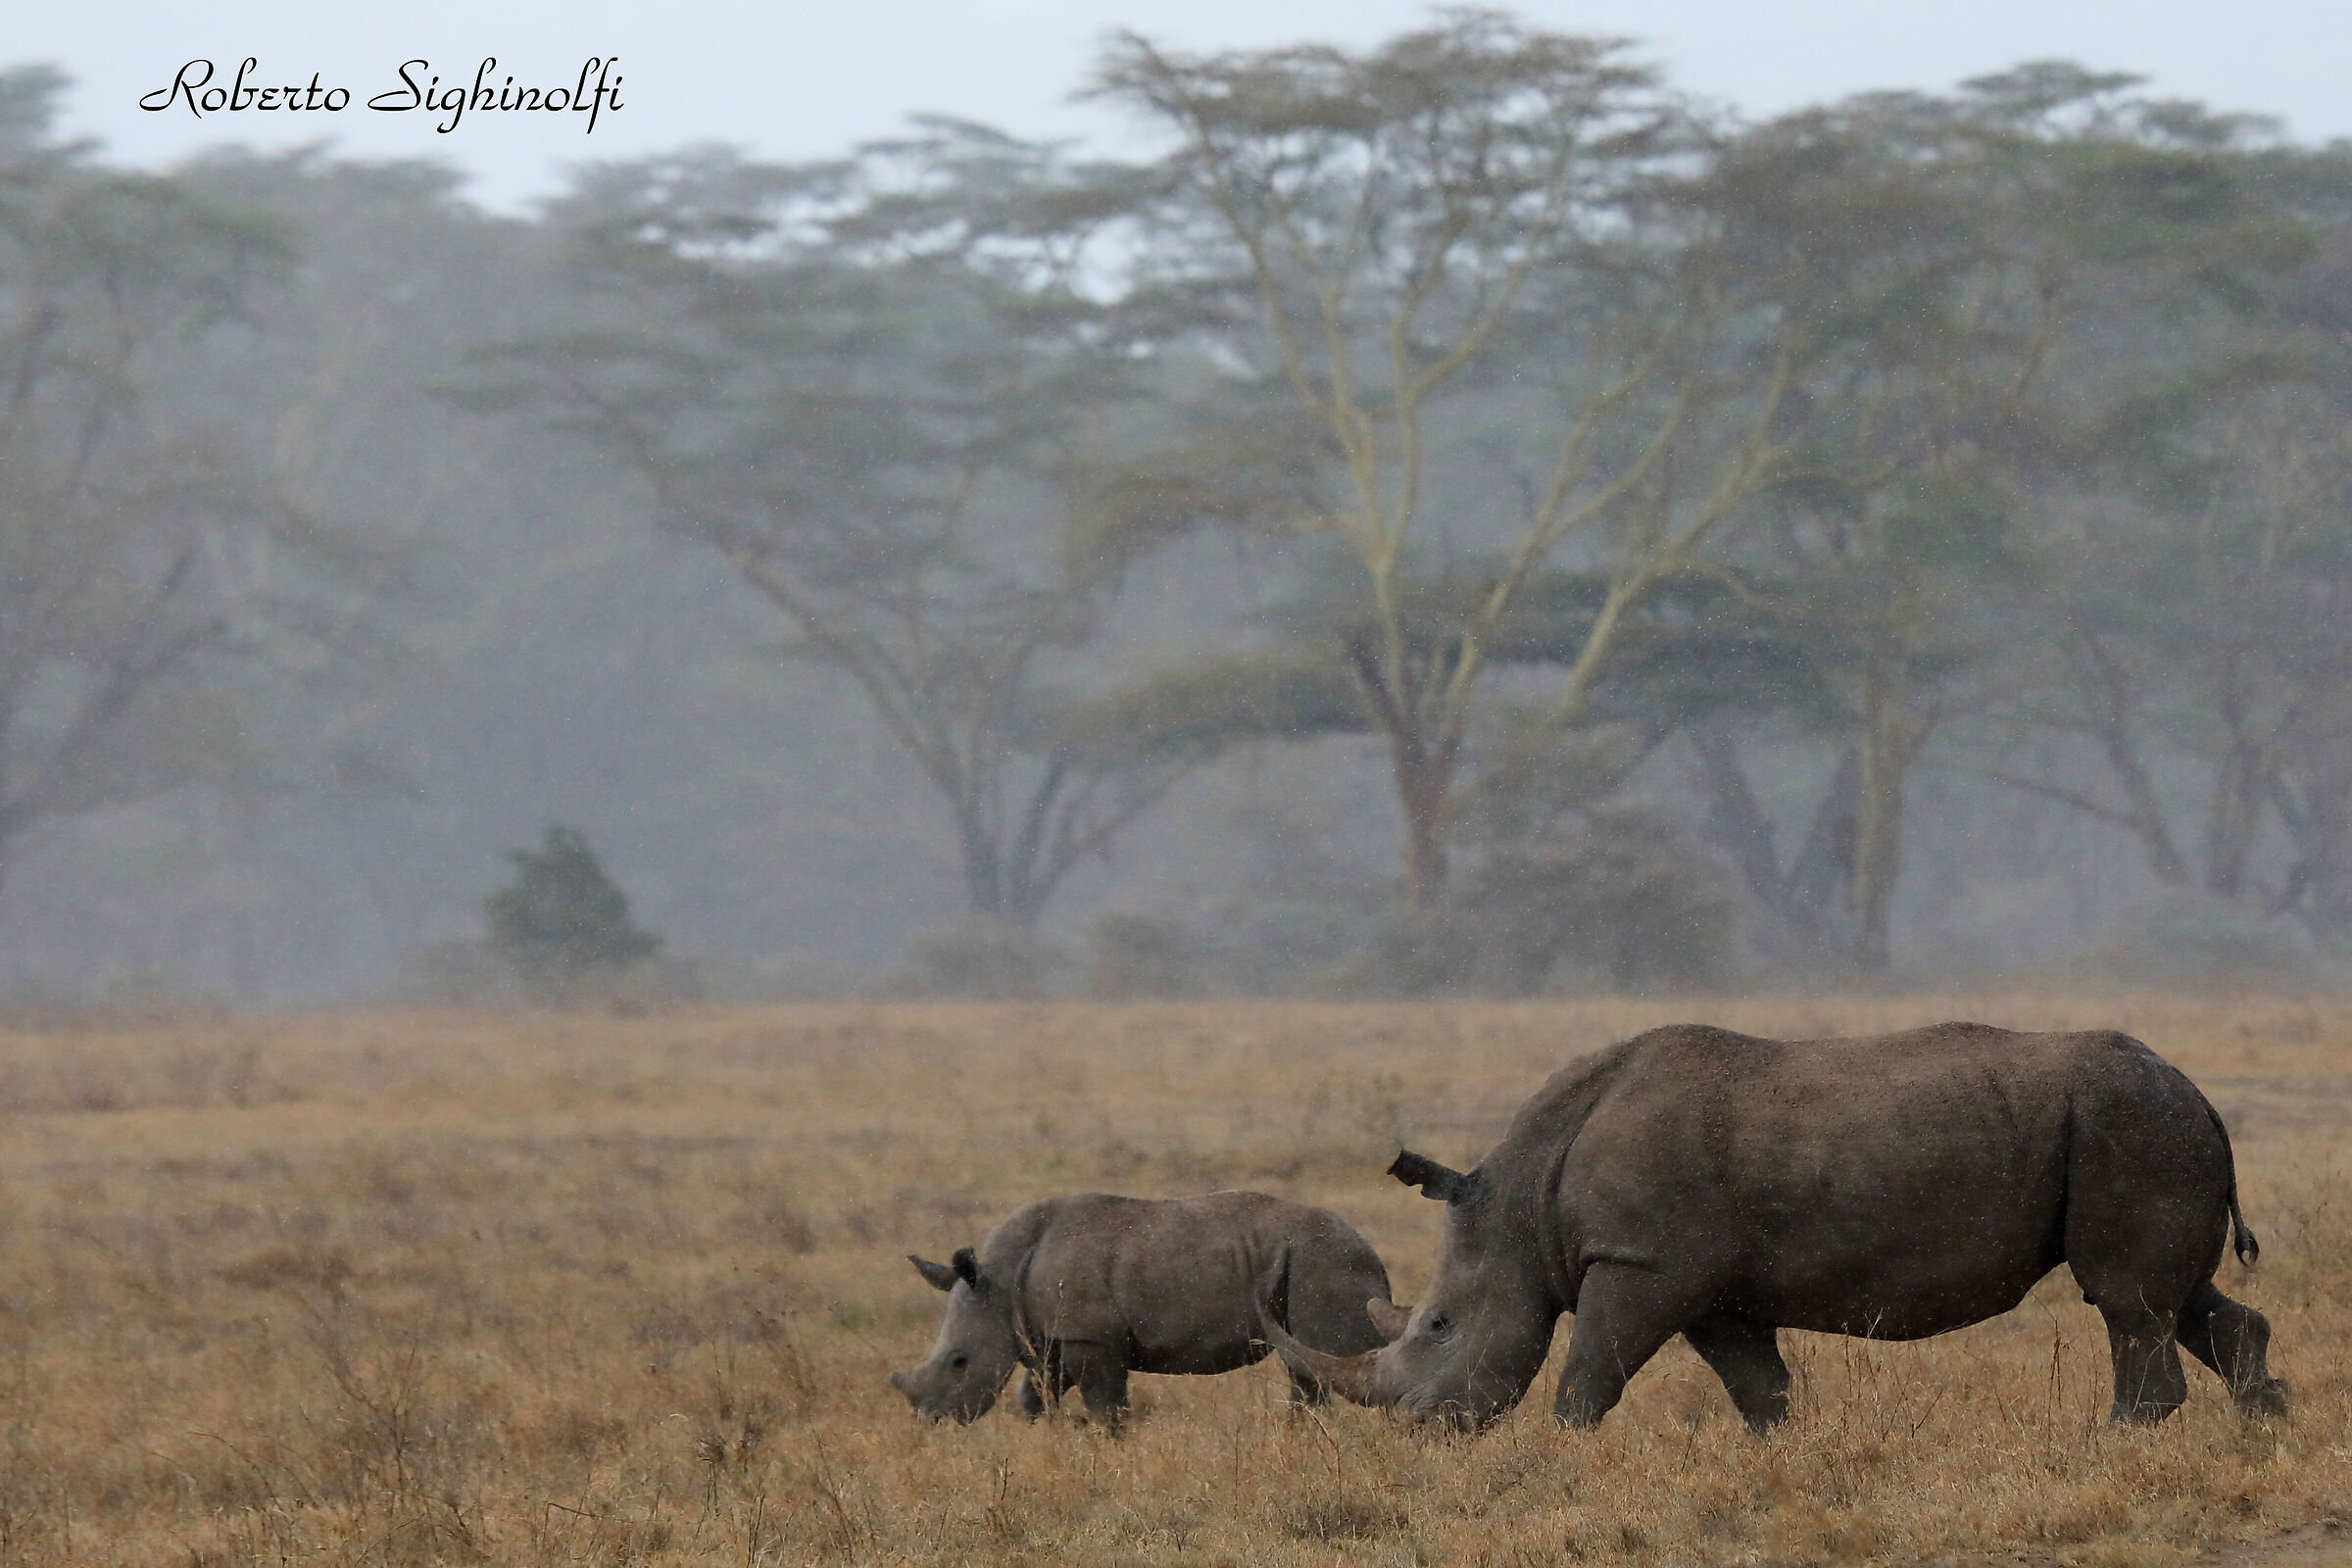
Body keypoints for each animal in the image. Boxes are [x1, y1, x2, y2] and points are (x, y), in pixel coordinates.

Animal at [890, 1190, 1392, 1427]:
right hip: (1309, 1261)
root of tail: (1369, 1249)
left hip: (1324, 1262)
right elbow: (1035, 1393)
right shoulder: (1059, 1335)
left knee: (1338, 1355)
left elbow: (1105, 1406)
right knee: (1307, 1368)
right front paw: (1047, 1433)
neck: (998, 1278)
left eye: (959, 1361)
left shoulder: (1091, 1338)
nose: (931, 1421)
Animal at [1261, 1022, 2288, 1433]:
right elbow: (1757, 1384)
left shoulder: (1641, 1263)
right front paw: (1779, 1449)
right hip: (2147, 1125)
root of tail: (2200, 1093)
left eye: (1437, 1326)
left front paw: (1561, 1448)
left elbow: (1590, 1370)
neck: (1523, 1200)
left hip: (2129, 1124)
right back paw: (2261, 1422)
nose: (1417, 1429)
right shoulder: (1706, 1283)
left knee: (2123, 1299)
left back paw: (2117, 1438)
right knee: (2174, 1299)